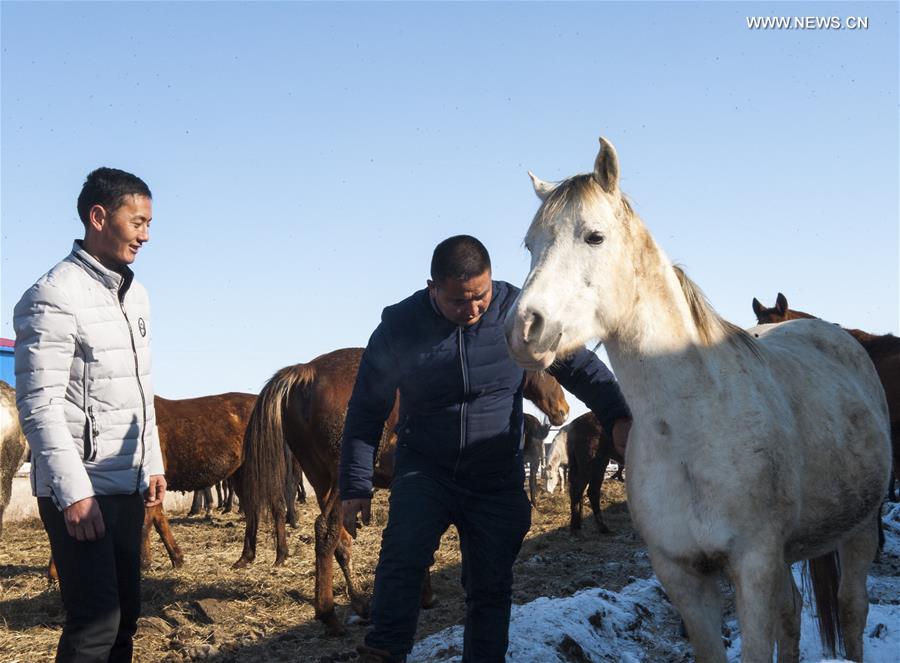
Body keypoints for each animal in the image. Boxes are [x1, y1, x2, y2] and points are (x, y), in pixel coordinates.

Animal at [234, 344, 568, 636]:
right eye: (549, 367)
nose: (563, 410)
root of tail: (306, 372)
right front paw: (426, 595)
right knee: (326, 532)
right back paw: (329, 615)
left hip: (322, 482)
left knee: (341, 541)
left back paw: (361, 604)